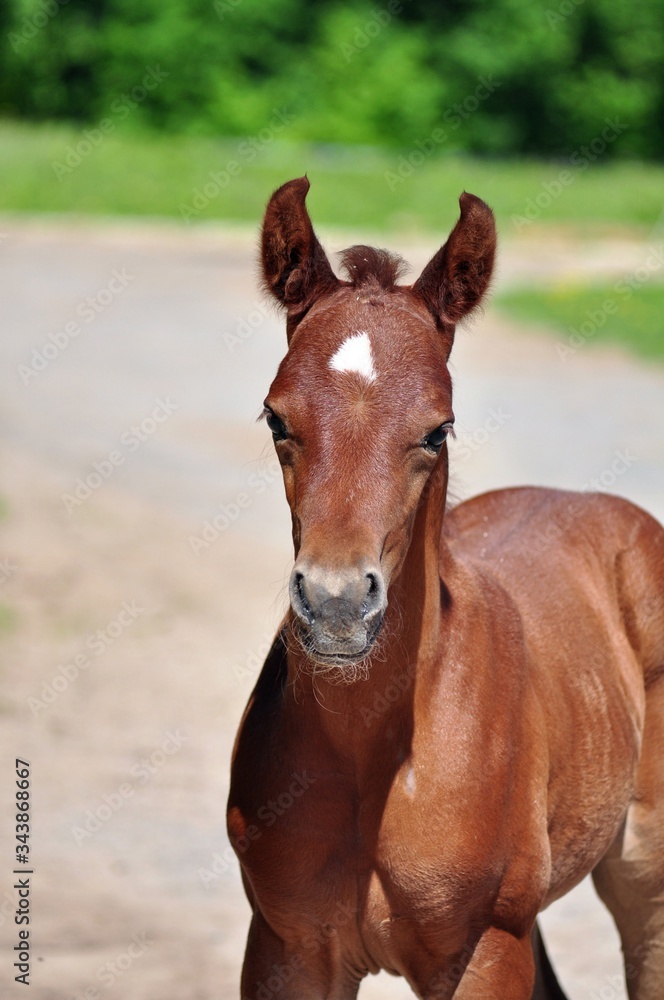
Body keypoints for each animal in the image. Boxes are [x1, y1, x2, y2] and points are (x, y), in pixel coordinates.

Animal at [227, 176, 664, 999]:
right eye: (275, 418)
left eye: (438, 429)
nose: (336, 605)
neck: (374, 758)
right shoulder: (285, 946)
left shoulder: (487, 949)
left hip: (641, 879)